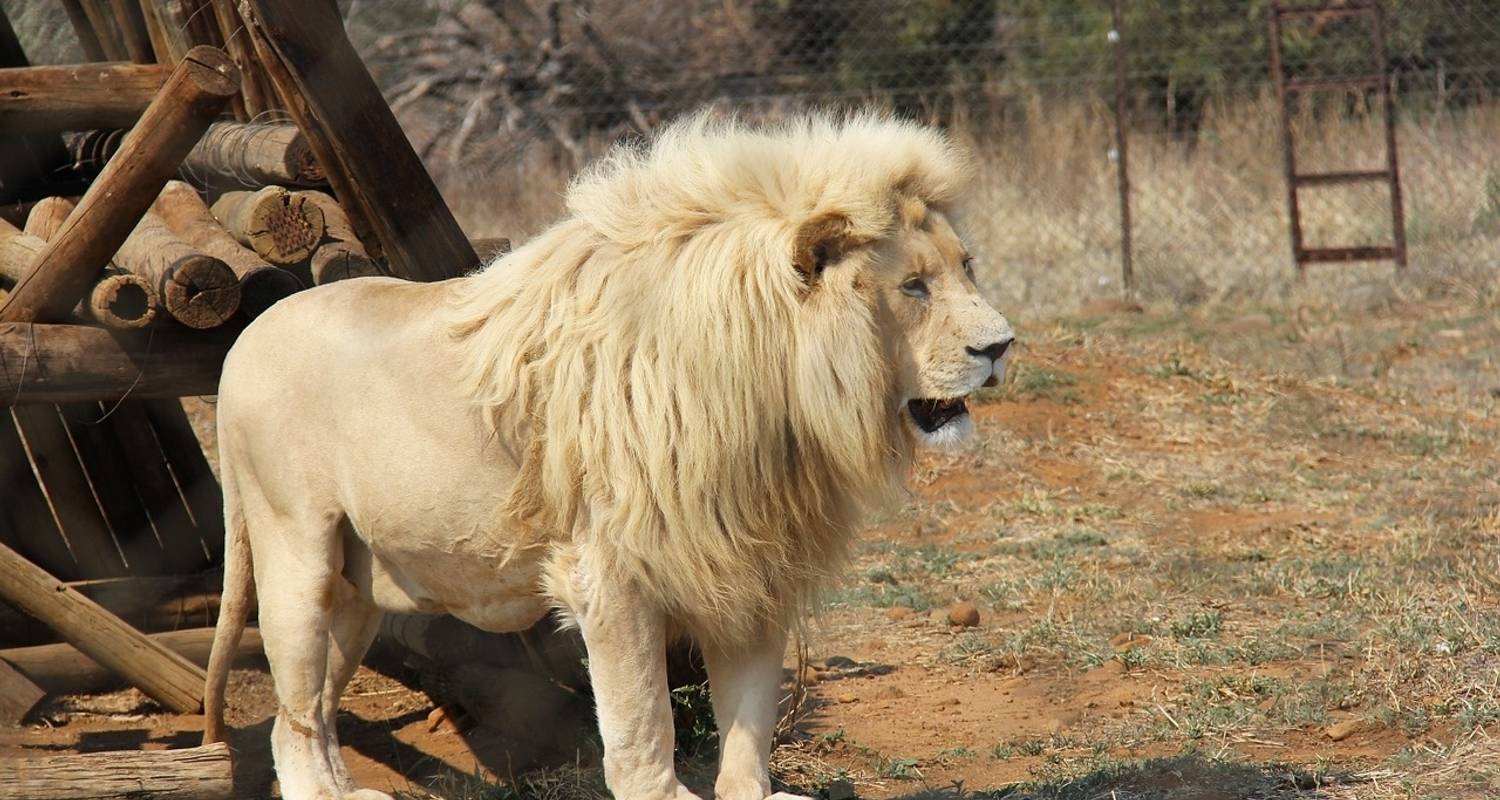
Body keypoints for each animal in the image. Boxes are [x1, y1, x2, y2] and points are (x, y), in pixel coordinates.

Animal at [202, 111, 1008, 798]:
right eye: (913, 286)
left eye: (967, 267)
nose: (1002, 346)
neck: (773, 398)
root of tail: (242, 342)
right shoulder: (611, 575)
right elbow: (641, 725)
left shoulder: (751, 564)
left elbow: (748, 716)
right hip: (294, 551)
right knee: (295, 712)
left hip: (358, 587)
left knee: (309, 708)